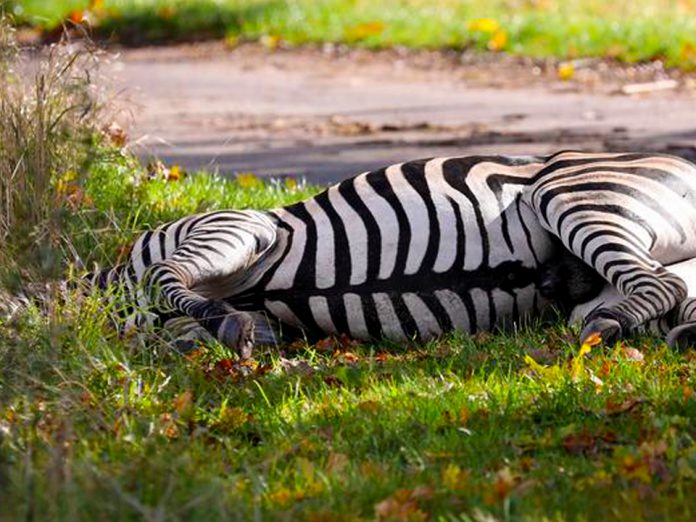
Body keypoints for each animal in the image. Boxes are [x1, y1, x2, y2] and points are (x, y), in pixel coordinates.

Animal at [4, 151, 696, 354]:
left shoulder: (236, 225)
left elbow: (168, 277)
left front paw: (214, 319)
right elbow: (203, 324)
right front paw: (215, 331)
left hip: (574, 189)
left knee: (656, 288)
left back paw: (611, 328)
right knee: (671, 293)